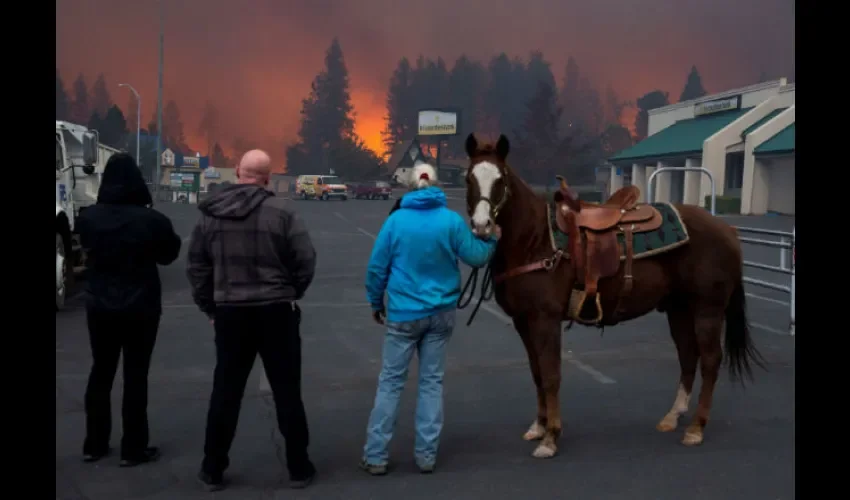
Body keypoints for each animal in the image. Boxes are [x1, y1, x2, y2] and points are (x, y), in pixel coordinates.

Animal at [464, 132, 760, 458]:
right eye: (469, 178)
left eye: (500, 180)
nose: (481, 226)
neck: (536, 240)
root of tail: (727, 230)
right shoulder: (523, 321)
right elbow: (537, 372)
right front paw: (539, 426)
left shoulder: (546, 319)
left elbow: (551, 375)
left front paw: (551, 437)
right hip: (679, 309)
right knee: (687, 355)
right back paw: (673, 416)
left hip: (708, 309)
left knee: (709, 359)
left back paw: (696, 428)